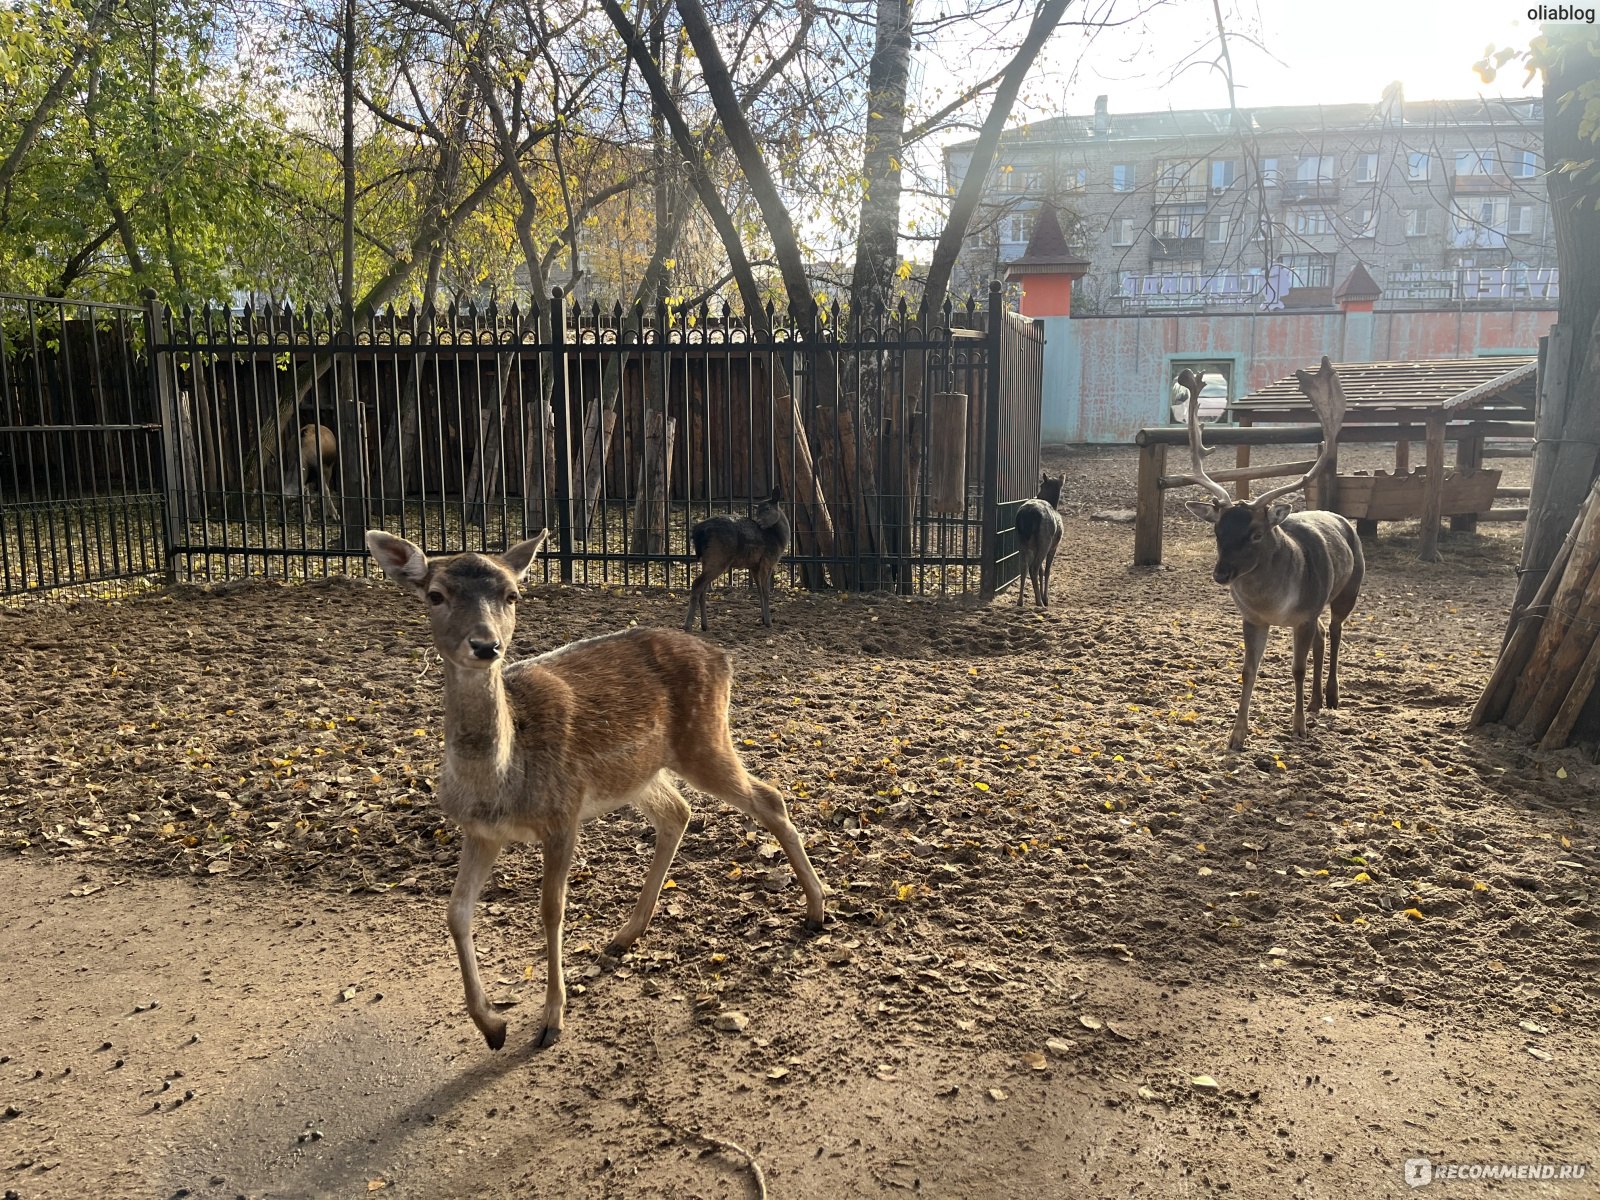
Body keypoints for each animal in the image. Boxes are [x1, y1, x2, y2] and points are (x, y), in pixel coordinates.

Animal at [369, 531, 832, 1049]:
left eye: (512, 595)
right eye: (435, 595)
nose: (486, 645)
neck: (500, 781)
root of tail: (724, 658)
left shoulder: (562, 813)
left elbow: (551, 909)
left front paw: (551, 1019)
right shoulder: (480, 831)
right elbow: (456, 913)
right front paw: (492, 1026)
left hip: (704, 739)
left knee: (768, 796)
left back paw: (816, 911)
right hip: (639, 772)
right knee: (678, 811)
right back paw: (626, 934)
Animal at [684, 489, 790, 640]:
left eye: (767, 508)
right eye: (758, 511)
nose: (759, 522)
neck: (779, 541)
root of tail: (698, 532)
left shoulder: (754, 566)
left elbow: (758, 590)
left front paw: (763, 619)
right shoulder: (767, 561)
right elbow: (766, 591)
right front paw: (769, 622)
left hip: (707, 559)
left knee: (703, 588)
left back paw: (705, 625)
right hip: (718, 558)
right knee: (696, 583)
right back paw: (687, 626)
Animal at [1177, 356, 1363, 752]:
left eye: (1256, 534)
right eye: (1217, 531)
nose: (1221, 573)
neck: (1274, 607)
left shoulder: (1304, 614)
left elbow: (1297, 669)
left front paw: (1298, 727)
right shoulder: (1252, 618)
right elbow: (1249, 670)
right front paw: (1236, 735)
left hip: (1347, 590)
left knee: (1336, 630)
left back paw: (1332, 696)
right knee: (1323, 634)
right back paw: (1315, 701)